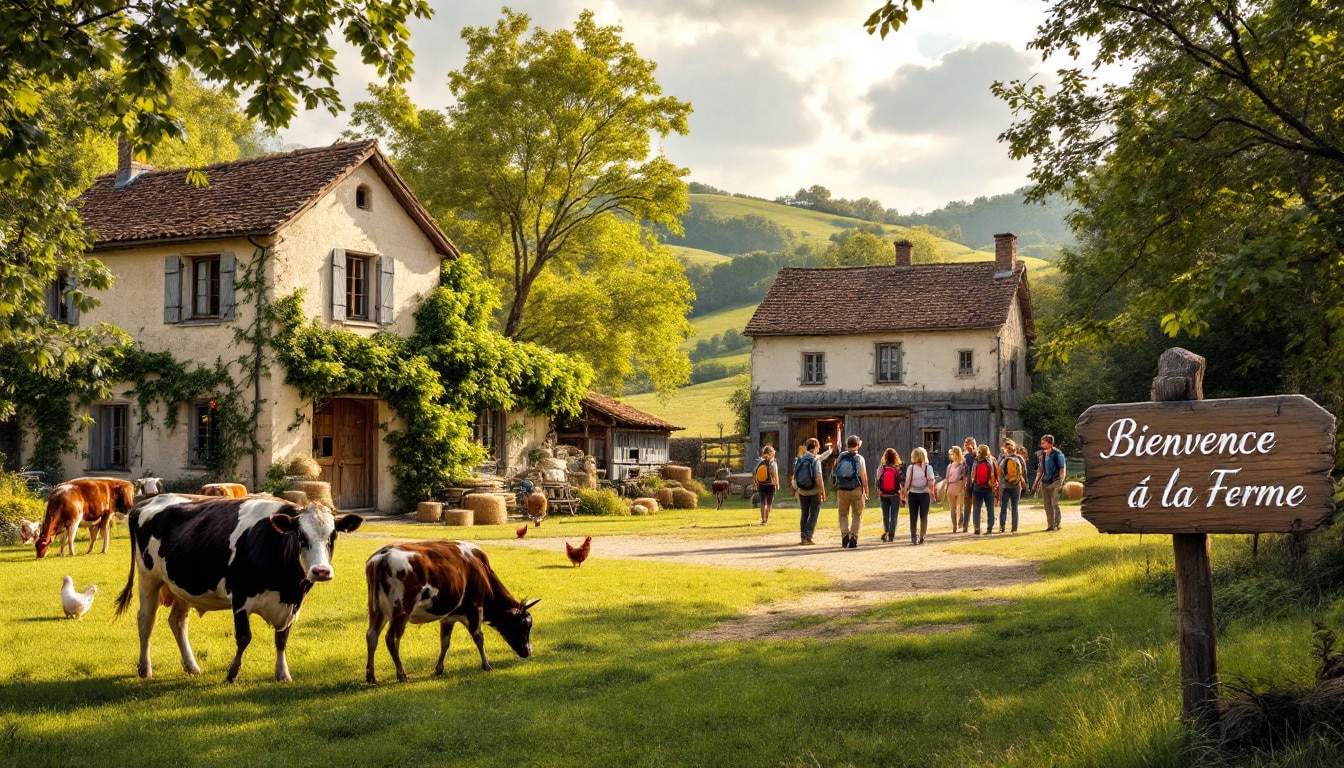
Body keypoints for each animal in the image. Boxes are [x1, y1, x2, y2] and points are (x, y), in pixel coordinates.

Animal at [114, 494, 362, 683]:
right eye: (301, 535)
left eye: (333, 535)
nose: (321, 571)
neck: (286, 586)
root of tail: (147, 501)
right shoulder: (241, 597)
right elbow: (244, 637)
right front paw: (232, 672)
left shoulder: (293, 604)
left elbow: (281, 638)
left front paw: (282, 673)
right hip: (149, 579)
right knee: (146, 621)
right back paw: (145, 668)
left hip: (180, 587)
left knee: (178, 622)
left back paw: (192, 666)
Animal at [368, 540, 540, 685]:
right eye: (524, 626)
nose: (528, 651)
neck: (481, 569)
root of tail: (382, 556)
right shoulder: (475, 606)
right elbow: (478, 637)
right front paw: (487, 665)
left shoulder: (448, 617)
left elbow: (445, 641)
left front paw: (439, 668)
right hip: (401, 610)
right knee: (392, 638)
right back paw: (402, 674)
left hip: (377, 610)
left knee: (372, 635)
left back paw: (371, 676)